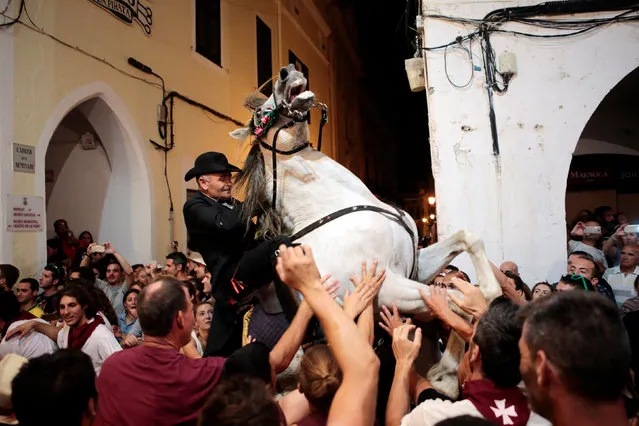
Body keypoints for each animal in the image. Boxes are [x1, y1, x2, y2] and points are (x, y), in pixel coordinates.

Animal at [232, 64, 502, 400]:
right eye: (261, 114)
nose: (287, 71)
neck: (333, 206)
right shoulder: (384, 289)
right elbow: (455, 302)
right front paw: (447, 375)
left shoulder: (417, 266)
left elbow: (470, 242)